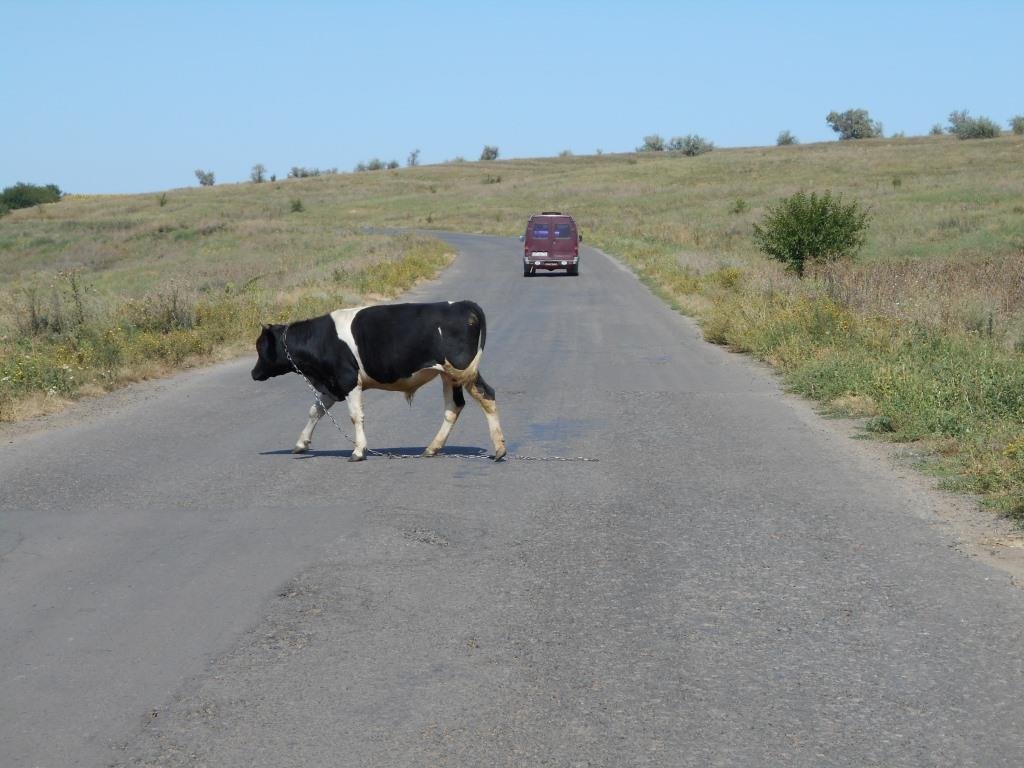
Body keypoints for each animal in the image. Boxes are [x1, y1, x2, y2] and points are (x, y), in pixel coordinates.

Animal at [251, 301, 507, 462]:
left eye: (260, 347)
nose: (253, 373)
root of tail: (465, 304)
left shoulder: (348, 379)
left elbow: (355, 416)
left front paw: (358, 451)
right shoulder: (333, 385)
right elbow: (315, 411)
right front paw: (301, 444)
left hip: (461, 370)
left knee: (487, 395)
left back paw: (499, 450)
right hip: (448, 375)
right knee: (454, 406)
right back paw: (432, 448)